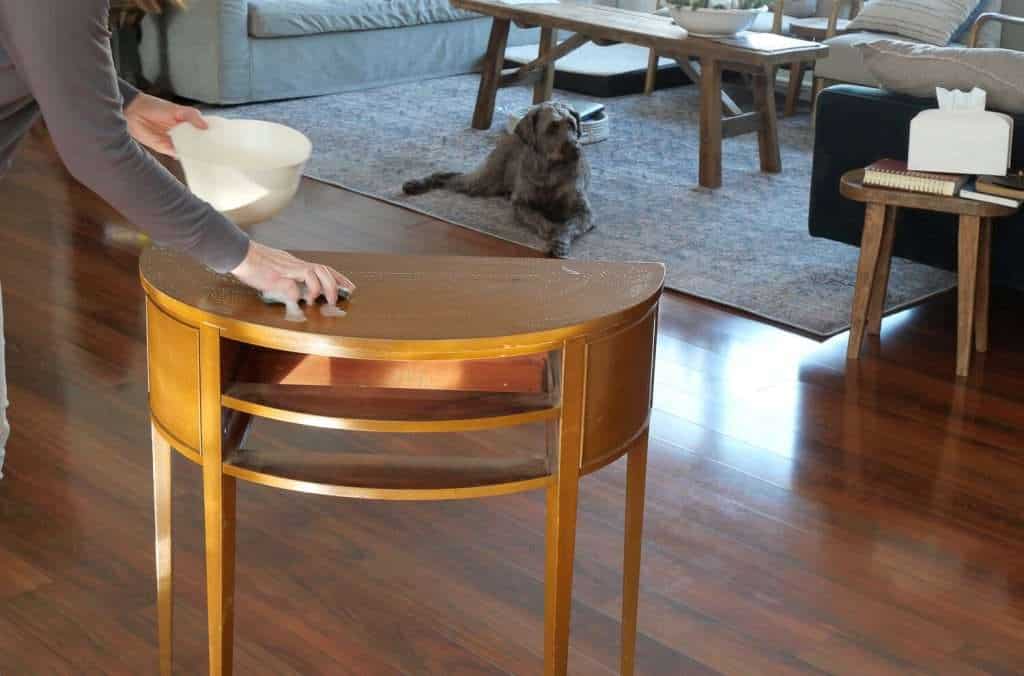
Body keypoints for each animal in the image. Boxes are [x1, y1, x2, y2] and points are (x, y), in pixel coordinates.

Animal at [399, 101, 593, 257]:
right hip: (485, 179)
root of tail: (512, 135)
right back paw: (416, 184)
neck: (551, 170)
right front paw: (550, 229)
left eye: (571, 124)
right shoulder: (521, 204)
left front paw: (560, 240)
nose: (576, 149)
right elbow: (536, 217)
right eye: (552, 127)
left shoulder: (584, 211)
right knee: (446, 175)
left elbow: (569, 226)